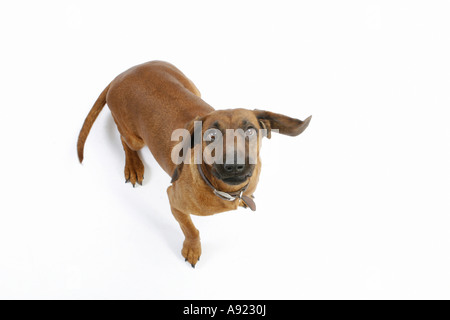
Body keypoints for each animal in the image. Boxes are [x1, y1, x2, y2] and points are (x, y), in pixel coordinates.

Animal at [77, 61, 312, 266]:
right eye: (211, 135)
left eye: (250, 131)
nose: (234, 164)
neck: (224, 191)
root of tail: (123, 73)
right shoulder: (174, 200)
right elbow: (190, 229)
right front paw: (192, 248)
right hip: (134, 137)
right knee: (123, 138)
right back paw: (133, 165)